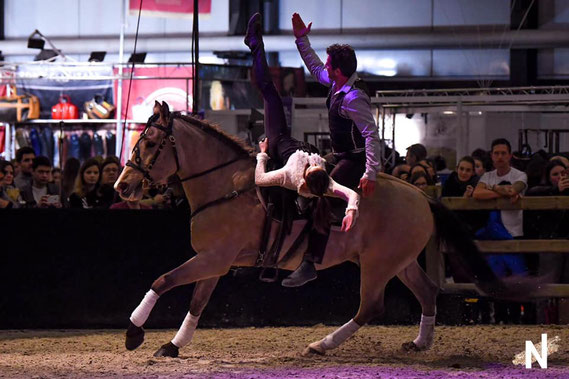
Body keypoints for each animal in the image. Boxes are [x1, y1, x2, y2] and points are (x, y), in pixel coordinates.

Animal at [115, 103, 510, 360]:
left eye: (149, 142)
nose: (122, 186)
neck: (226, 186)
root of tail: (421, 194)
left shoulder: (214, 258)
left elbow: (162, 281)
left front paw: (134, 332)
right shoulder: (212, 261)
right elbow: (196, 303)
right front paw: (173, 345)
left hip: (378, 265)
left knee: (371, 306)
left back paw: (322, 345)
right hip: (398, 261)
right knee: (427, 292)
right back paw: (420, 343)